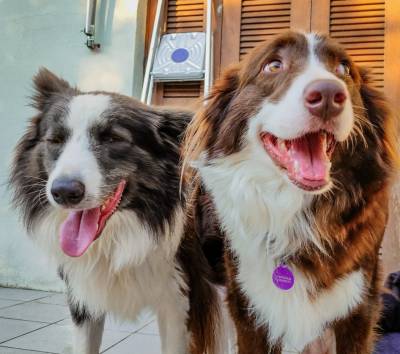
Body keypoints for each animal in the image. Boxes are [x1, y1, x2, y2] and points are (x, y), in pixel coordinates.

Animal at [183, 31, 398, 352]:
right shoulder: (249, 310)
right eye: (273, 66)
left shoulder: (360, 307)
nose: (328, 96)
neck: (294, 211)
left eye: (344, 69)